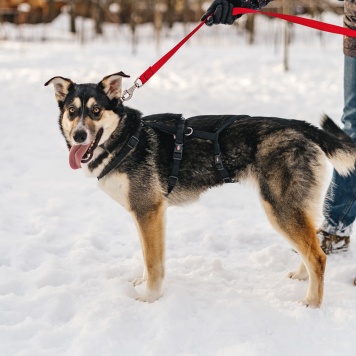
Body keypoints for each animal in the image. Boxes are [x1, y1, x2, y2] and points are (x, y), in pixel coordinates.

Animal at [45, 71, 356, 306]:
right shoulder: (145, 213)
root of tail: (301, 126)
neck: (125, 139)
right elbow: (148, 257)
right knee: (312, 246)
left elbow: (153, 262)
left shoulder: (148, 211)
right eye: (72, 111)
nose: (79, 135)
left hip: (280, 208)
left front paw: (150, 297)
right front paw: (144, 283)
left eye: (96, 111)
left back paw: (312, 303)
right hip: (297, 207)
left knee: (318, 257)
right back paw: (302, 277)